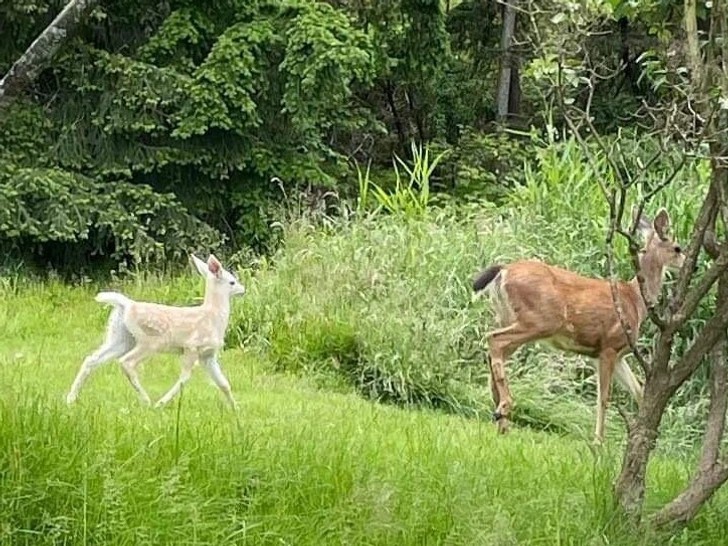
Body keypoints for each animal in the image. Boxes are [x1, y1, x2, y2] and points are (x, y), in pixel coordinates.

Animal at [474, 207, 684, 442]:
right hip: (540, 320)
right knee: (494, 339)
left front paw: (647, 435)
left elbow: (638, 391)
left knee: (494, 349)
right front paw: (599, 441)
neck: (635, 300)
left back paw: (501, 420)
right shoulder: (609, 345)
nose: (687, 264)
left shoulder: (614, 354)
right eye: (677, 248)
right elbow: (603, 398)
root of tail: (504, 270)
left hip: (509, 317)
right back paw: (504, 407)